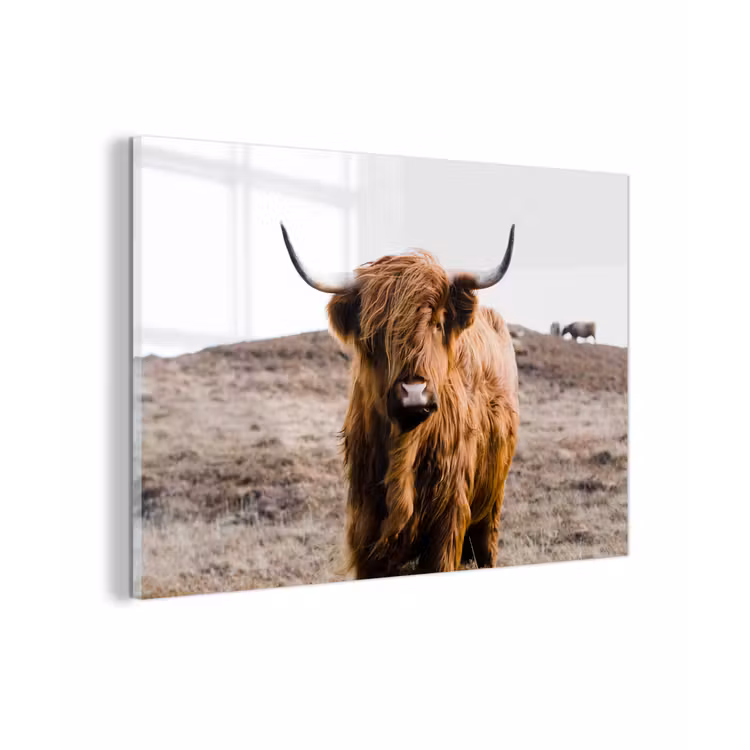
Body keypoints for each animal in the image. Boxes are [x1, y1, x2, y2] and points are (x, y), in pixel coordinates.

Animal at [281, 223, 520, 579]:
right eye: (374, 332)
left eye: (437, 322)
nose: (413, 392)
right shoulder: (365, 528)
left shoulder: (448, 523)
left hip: (491, 503)